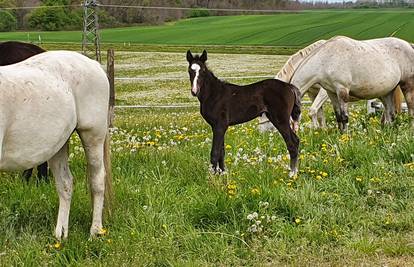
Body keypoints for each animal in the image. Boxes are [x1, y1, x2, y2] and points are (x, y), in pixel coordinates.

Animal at [188, 50, 300, 178]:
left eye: (203, 71)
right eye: (190, 70)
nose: (194, 91)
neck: (214, 94)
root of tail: (289, 87)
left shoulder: (219, 126)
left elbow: (215, 152)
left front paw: (212, 177)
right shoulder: (219, 127)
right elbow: (222, 151)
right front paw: (222, 173)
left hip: (280, 119)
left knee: (292, 143)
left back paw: (292, 174)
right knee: (296, 141)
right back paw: (295, 172)